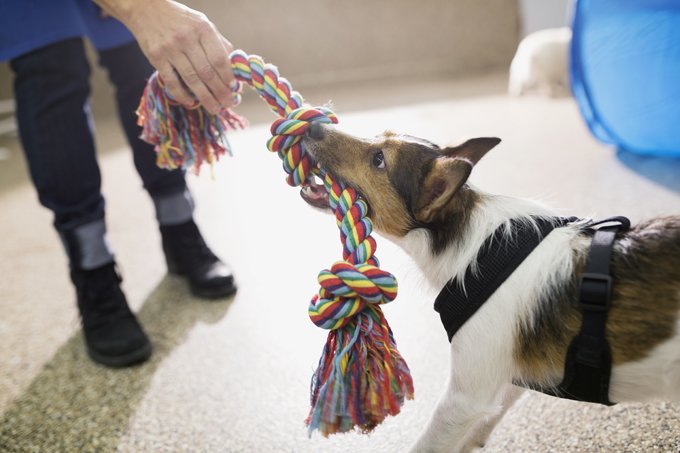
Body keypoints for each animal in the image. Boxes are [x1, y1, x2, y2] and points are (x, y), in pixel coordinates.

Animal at [300, 122, 680, 452]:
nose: (313, 127)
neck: (477, 246)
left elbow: (429, 443)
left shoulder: (463, 398)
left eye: (379, 159)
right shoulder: (517, 371)